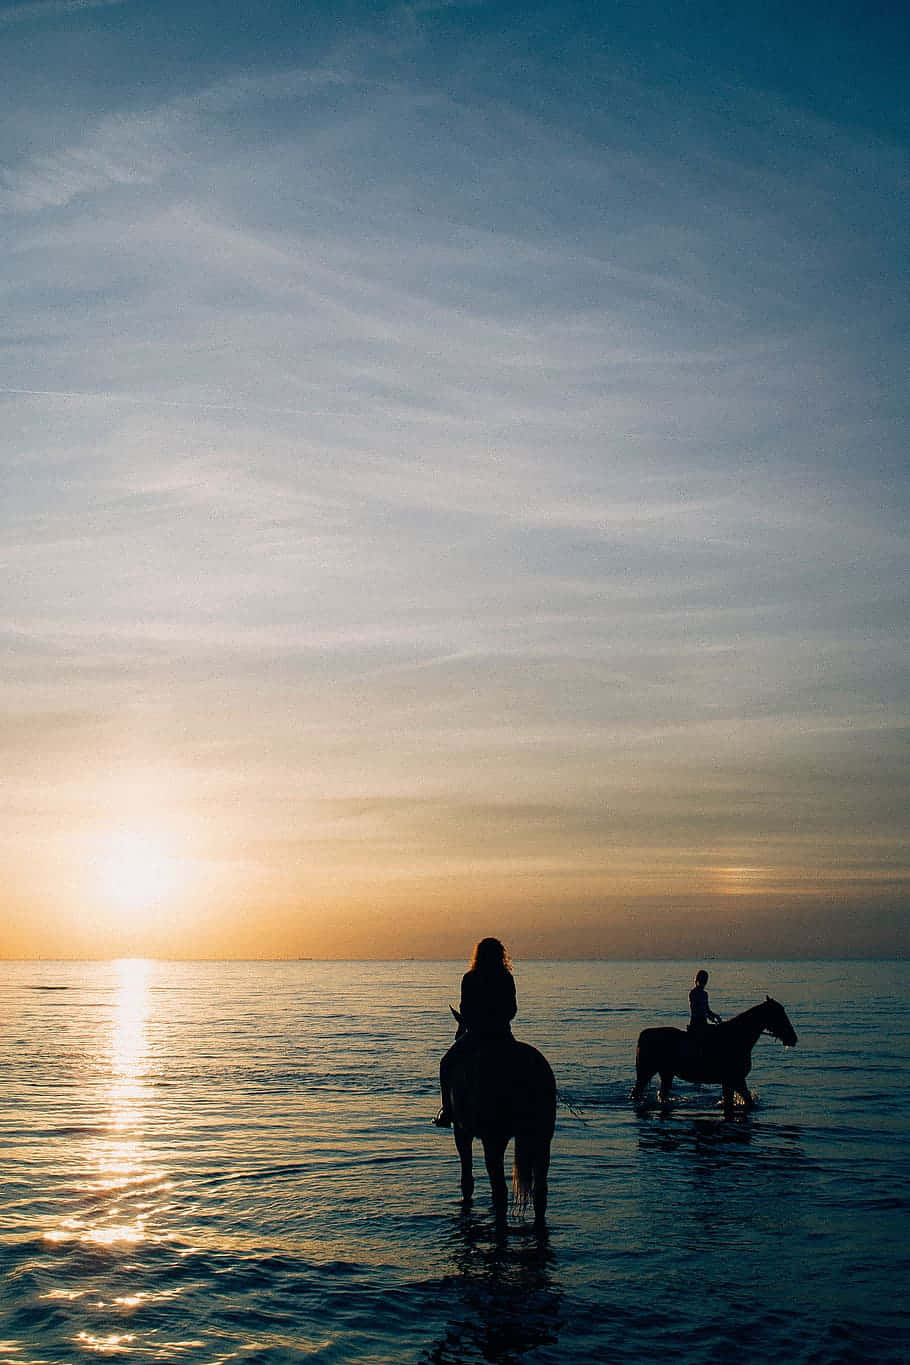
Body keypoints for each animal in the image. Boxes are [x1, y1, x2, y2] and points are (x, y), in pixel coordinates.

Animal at [442, 1004, 556, 1228]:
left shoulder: (461, 1132)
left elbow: (467, 1179)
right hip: (543, 1137)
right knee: (540, 1191)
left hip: (494, 1139)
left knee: (500, 1189)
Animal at [633, 999, 796, 1113]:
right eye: (779, 1014)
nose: (793, 1038)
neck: (737, 1038)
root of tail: (643, 1034)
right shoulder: (736, 1080)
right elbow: (747, 1102)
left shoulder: (730, 1082)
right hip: (645, 1073)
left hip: (666, 1074)